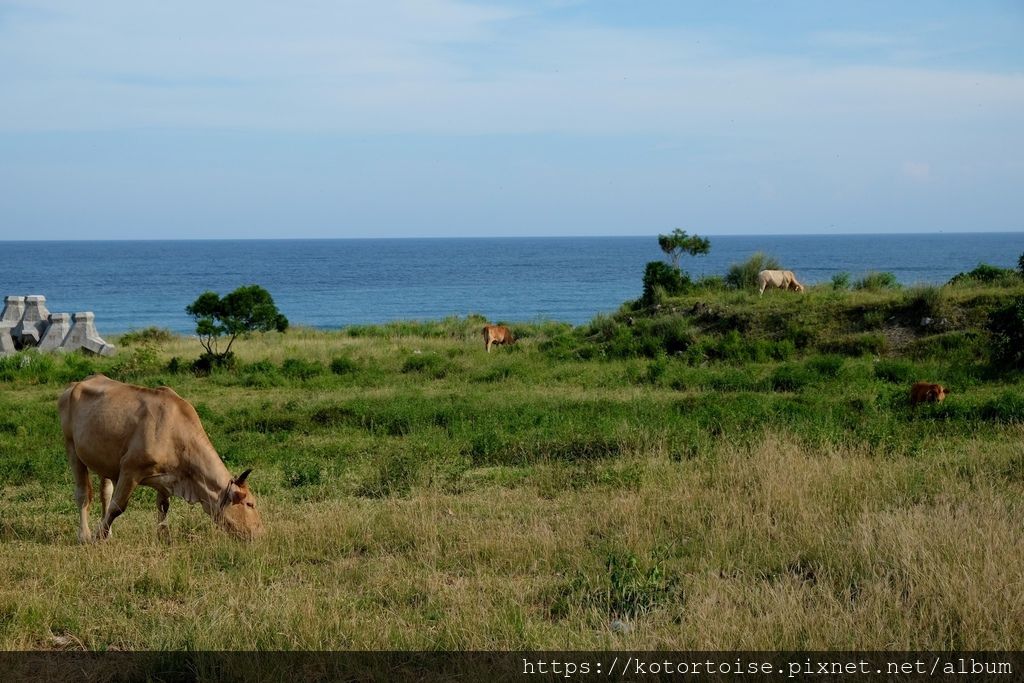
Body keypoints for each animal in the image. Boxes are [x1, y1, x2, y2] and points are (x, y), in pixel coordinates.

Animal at [58, 374, 264, 544]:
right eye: (250, 504)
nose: (260, 532)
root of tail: (75, 384)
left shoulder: (167, 478)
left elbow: (163, 506)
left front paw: (164, 537)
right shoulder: (130, 470)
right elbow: (118, 507)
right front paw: (98, 536)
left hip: (104, 459)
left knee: (105, 493)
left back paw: (109, 533)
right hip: (71, 447)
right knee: (83, 494)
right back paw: (84, 535)